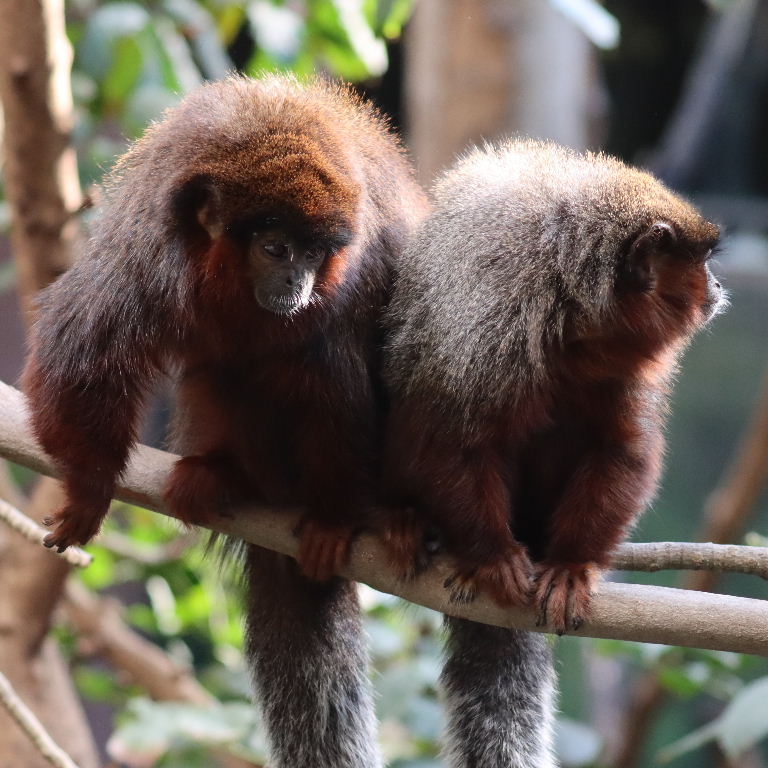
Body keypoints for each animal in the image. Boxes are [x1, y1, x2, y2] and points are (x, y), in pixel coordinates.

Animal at [22, 75, 428, 768]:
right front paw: (90, 485)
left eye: (315, 254)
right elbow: (83, 350)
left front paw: (335, 519)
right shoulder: (149, 252)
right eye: (276, 248)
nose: (297, 284)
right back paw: (224, 475)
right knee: (223, 374)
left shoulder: (350, 281)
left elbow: (343, 387)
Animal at [381, 139, 723, 767]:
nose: (716, 286)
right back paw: (405, 522)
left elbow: (621, 450)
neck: (573, 311)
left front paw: (571, 565)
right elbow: (446, 437)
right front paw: (491, 554)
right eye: (701, 263)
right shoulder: (490, 321)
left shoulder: (624, 365)